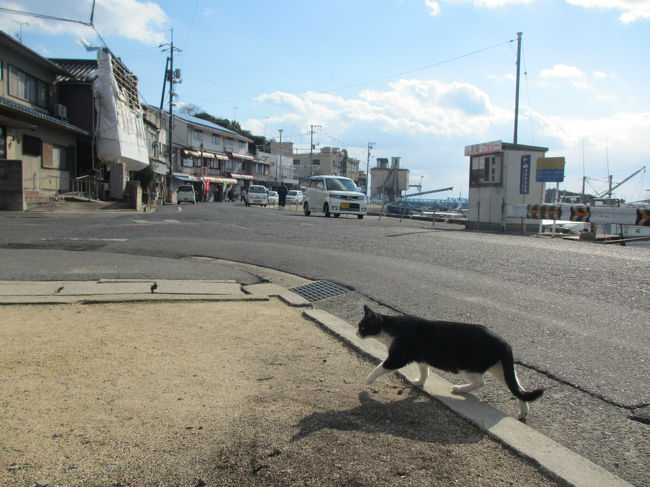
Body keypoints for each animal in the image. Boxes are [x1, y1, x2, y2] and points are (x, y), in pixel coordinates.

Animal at [354, 304, 540, 420]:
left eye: (362, 327)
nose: (356, 333)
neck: (390, 329)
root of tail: (503, 342)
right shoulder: (421, 358)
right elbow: (424, 371)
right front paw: (419, 382)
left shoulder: (398, 357)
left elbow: (381, 366)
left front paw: (368, 380)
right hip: (499, 368)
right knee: (519, 388)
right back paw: (523, 412)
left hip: (467, 366)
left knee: (481, 383)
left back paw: (460, 388)